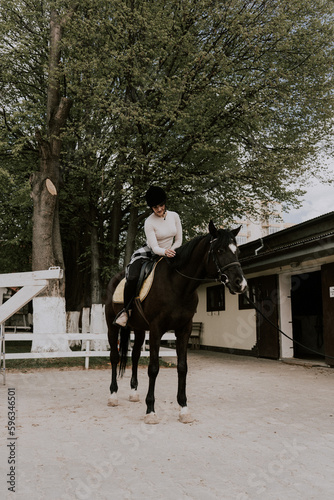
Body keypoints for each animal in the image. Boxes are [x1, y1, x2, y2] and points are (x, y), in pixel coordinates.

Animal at [105, 221, 248, 424]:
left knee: (135, 356)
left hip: (139, 330)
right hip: (112, 327)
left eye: (238, 251)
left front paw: (184, 408)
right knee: (115, 357)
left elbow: (182, 367)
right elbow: (153, 368)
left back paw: (133, 393)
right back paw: (113, 396)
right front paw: (151, 410)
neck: (177, 285)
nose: (240, 284)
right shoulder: (156, 330)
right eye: (219, 250)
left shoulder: (184, 330)